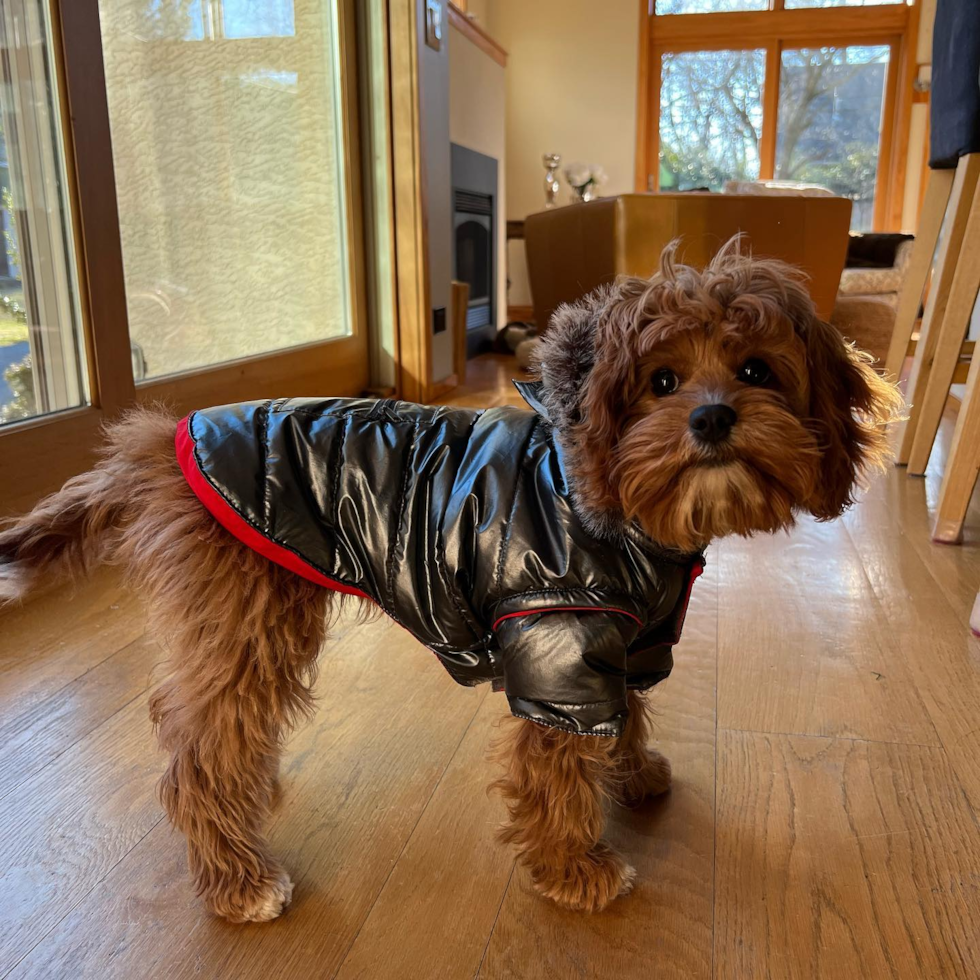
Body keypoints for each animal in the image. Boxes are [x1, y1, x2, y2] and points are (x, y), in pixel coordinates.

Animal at [1, 241, 904, 924]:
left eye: (756, 370)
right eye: (661, 381)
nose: (713, 417)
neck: (610, 505)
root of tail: (162, 438)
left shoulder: (632, 641)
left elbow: (627, 714)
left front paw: (635, 771)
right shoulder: (558, 641)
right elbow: (556, 764)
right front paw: (574, 865)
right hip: (246, 624)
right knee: (201, 751)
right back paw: (239, 879)